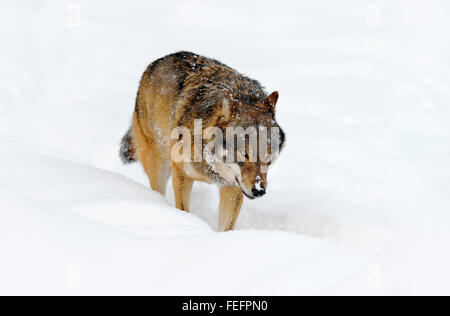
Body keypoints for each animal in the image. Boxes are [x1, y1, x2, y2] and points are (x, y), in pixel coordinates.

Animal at [120, 51, 284, 230]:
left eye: (268, 154)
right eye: (243, 153)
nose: (259, 190)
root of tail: (157, 62)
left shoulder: (233, 187)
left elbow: (226, 227)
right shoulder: (182, 174)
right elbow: (183, 210)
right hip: (159, 166)